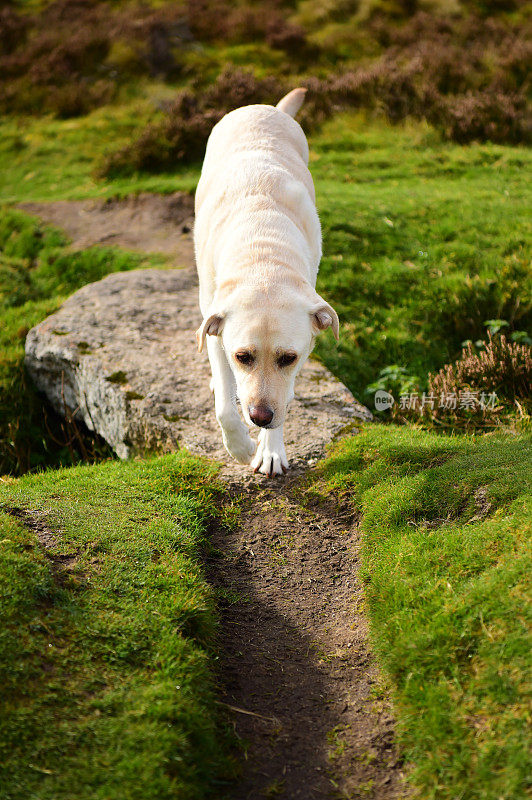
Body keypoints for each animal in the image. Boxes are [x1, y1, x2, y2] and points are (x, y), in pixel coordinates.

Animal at [194, 87, 336, 476]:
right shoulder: (216, 327)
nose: (259, 418)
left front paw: (270, 449)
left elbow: (284, 397)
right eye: (243, 356)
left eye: (288, 358)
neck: (263, 256)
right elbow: (225, 406)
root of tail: (265, 107)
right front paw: (241, 446)